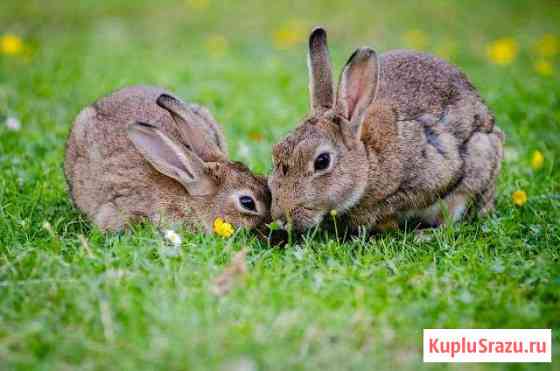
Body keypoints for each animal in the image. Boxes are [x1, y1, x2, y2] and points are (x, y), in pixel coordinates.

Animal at [266, 27, 504, 234]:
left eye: (322, 161)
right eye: (275, 152)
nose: (281, 217)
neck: (368, 162)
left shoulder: (435, 173)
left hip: (479, 161)